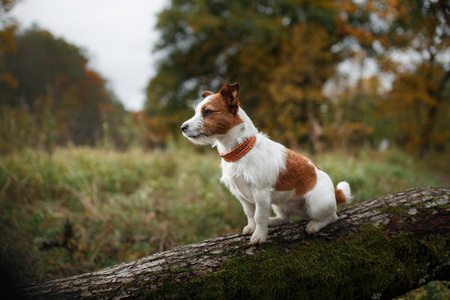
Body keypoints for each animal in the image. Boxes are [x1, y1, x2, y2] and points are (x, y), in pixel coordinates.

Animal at [181, 82, 354, 244]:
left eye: (207, 111)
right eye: (196, 111)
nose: (182, 127)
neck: (239, 151)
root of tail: (335, 193)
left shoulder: (261, 193)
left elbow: (259, 216)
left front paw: (259, 236)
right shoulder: (241, 195)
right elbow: (250, 214)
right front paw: (252, 228)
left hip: (316, 203)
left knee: (332, 216)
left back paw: (314, 225)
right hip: (279, 204)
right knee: (285, 218)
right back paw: (273, 222)